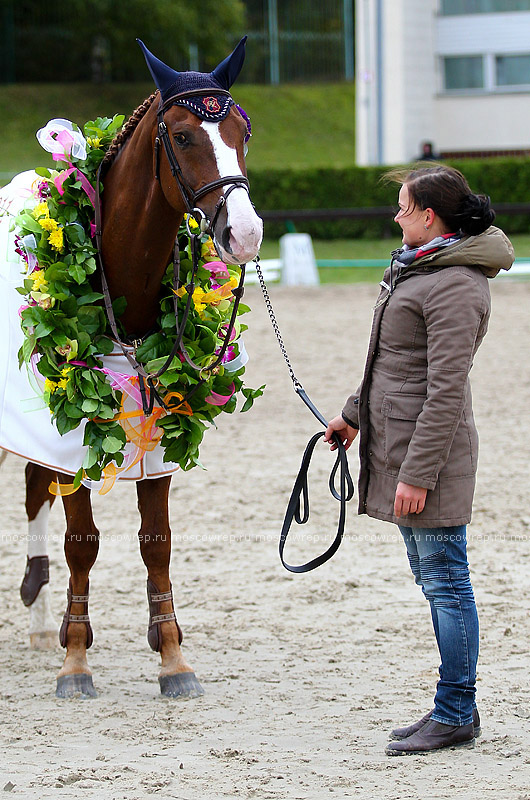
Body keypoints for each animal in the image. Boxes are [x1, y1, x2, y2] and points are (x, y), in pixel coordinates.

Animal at [0, 37, 262, 696]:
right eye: (183, 135)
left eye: (243, 131)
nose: (245, 233)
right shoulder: (72, 439)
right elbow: (83, 544)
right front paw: (75, 661)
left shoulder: (159, 432)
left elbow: (156, 544)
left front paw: (172, 657)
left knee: (33, 492)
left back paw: (39, 621)